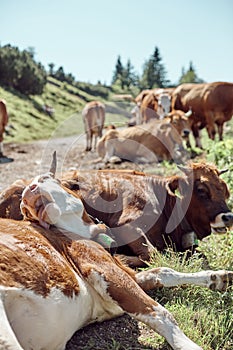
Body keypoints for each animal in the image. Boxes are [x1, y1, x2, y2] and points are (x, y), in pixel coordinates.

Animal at [0, 157, 232, 350]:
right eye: (201, 189)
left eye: (49, 179)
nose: (30, 190)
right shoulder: (105, 265)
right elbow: (161, 312)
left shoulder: (120, 273)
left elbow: (163, 272)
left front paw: (218, 277)